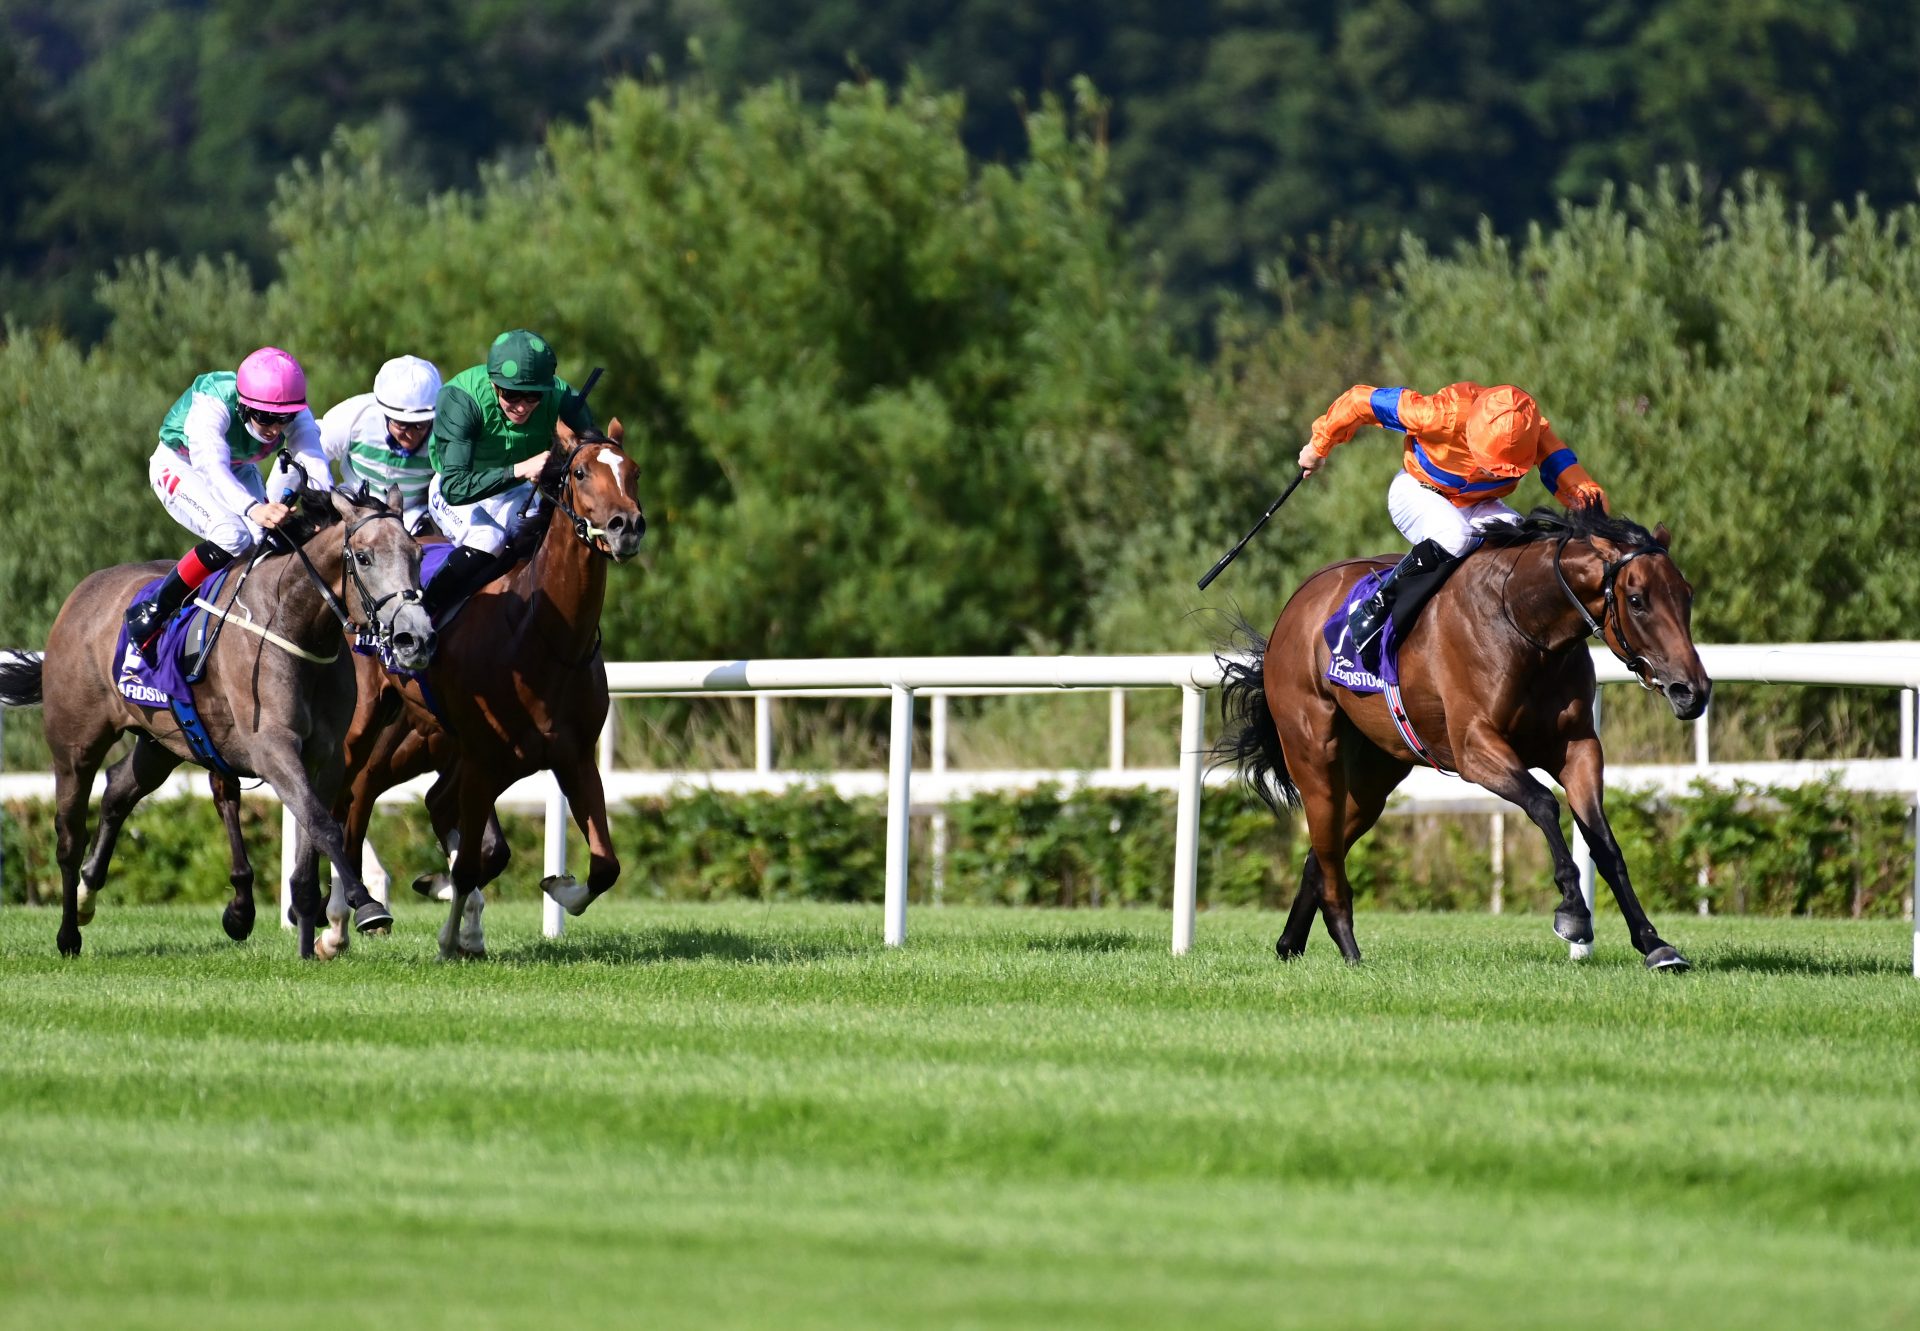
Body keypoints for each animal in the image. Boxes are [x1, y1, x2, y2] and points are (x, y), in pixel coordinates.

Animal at [0, 487, 435, 956]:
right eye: (364, 557)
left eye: (416, 553)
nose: (415, 638)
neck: (292, 622)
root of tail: (81, 594)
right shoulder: (273, 749)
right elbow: (324, 826)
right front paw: (364, 903)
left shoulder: (326, 757)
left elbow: (311, 841)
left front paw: (308, 945)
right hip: (75, 747)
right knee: (68, 836)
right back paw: (68, 933)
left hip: (162, 742)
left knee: (118, 790)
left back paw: (86, 896)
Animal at [328, 422, 645, 956]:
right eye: (581, 472)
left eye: (634, 471)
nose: (627, 526)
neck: (542, 635)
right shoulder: (482, 760)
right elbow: (470, 864)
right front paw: (449, 938)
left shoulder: (573, 757)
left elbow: (605, 865)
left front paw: (558, 888)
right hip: (368, 724)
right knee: (349, 797)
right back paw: (335, 924)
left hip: (425, 735)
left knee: (406, 797)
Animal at [1213, 503, 1712, 971]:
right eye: (1637, 599)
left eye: (1686, 594)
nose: (1693, 691)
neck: (1524, 622)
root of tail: (1296, 604)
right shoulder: (1475, 749)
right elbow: (1542, 804)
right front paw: (1573, 912)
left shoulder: (1578, 748)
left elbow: (1604, 843)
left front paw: (1654, 943)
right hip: (1315, 752)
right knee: (1327, 843)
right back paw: (1349, 949)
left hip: (1376, 773)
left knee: (1324, 848)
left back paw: (1290, 943)